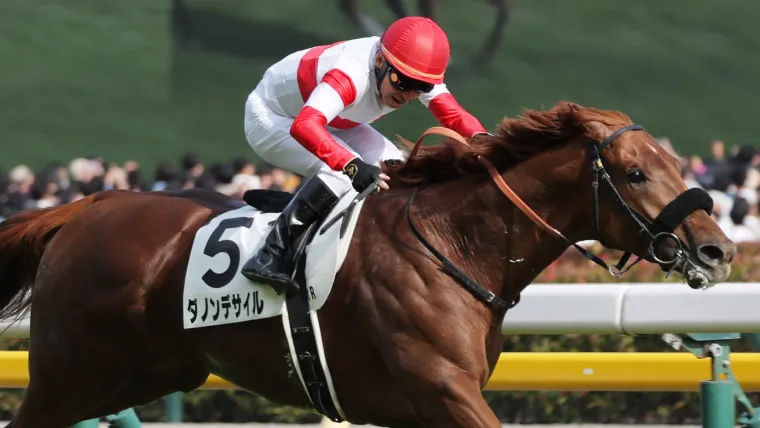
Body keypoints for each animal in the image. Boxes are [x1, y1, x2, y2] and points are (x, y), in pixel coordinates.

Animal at [0, 101, 734, 427]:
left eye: (675, 163)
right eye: (635, 173)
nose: (718, 250)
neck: (454, 244)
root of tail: (85, 207)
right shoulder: (443, 388)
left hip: (142, 373)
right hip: (70, 374)